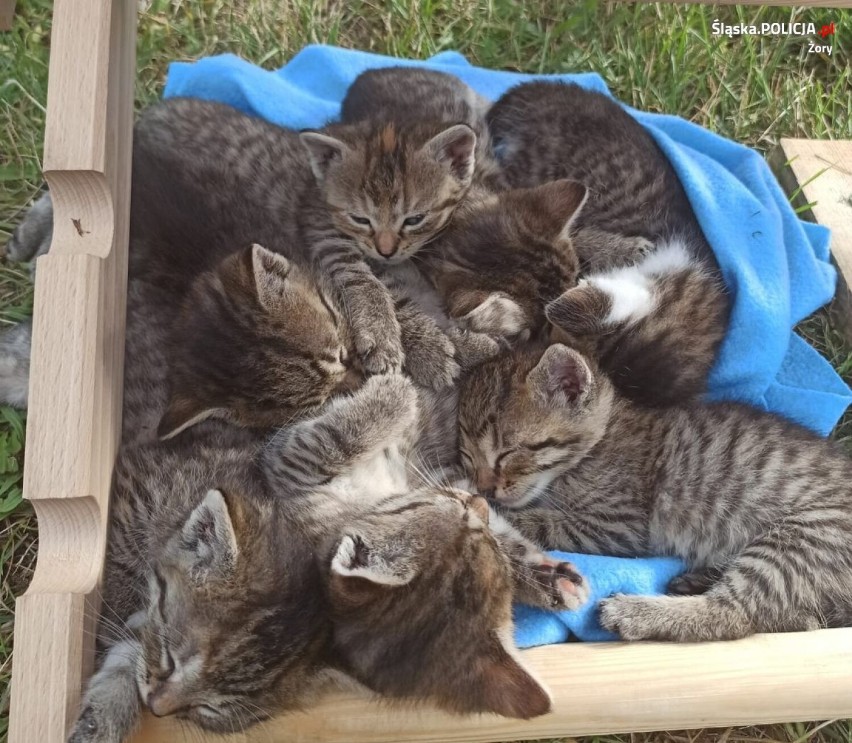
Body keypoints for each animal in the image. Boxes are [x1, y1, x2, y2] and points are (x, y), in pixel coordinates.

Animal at [262, 374, 588, 716]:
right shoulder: (292, 463)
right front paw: (394, 393)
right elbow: (335, 439)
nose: (481, 501)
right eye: (464, 513)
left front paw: (549, 578)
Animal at [462, 342, 852, 640]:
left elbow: (539, 521)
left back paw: (635, 612)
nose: (486, 487)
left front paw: (486, 508)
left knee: (733, 614)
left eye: (508, 452)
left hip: (805, 537)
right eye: (468, 457)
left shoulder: (619, 524)